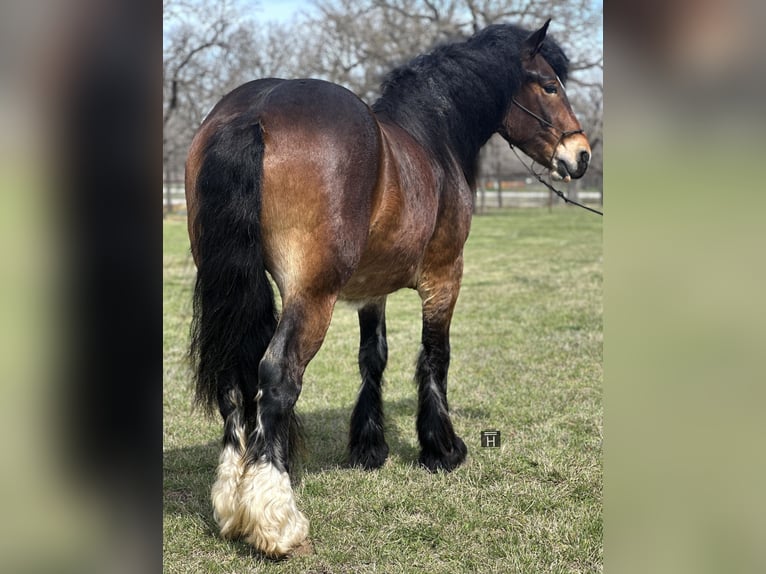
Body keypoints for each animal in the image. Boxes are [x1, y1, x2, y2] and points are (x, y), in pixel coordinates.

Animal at [186, 20, 592, 560]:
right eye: (549, 85)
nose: (581, 153)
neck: (430, 140)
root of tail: (253, 111)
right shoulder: (445, 277)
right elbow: (435, 357)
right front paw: (442, 449)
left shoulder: (370, 290)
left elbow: (372, 358)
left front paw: (369, 448)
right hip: (311, 296)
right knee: (275, 377)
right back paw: (278, 522)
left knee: (235, 378)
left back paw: (233, 505)